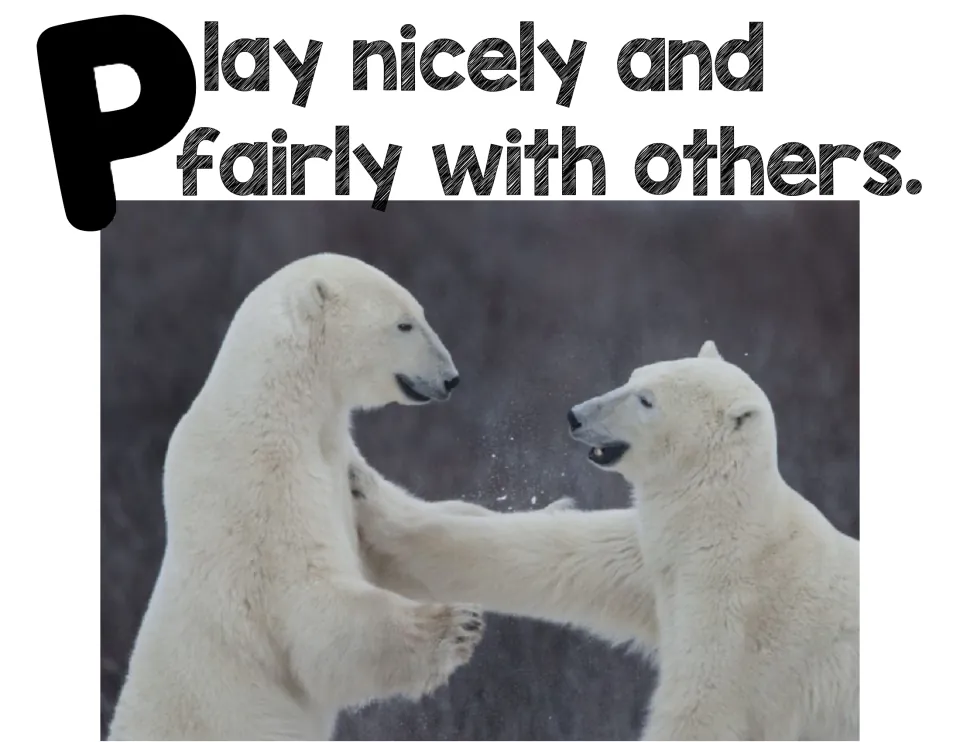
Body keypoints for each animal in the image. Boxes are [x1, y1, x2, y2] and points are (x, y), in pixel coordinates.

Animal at [108, 253, 485, 742]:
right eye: (404, 323)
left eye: (420, 314)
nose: (451, 378)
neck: (280, 403)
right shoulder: (264, 484)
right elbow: (309, 608)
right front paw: (455, 624)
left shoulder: (336, 457)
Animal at [352, 341, 859, 741]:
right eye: (634, 376)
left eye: (647, 401)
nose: (575, 415)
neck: (724, 526)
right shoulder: (651, 559)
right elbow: (555, 552)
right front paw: (364, 488)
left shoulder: (739, 616)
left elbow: (703, 708)